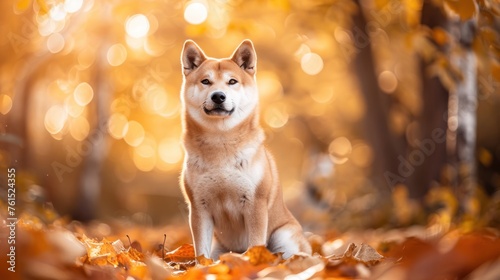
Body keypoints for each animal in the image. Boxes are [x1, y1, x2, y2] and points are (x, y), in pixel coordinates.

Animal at [180, 38, 312, 260]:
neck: (220, 143)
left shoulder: (255, 203)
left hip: (283, 236)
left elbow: (256, 243)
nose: (218, 96)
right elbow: (201, 251)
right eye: (205, 81)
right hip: (220, 247)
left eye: (232, 81)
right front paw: (202, 265)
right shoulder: (199, 207)